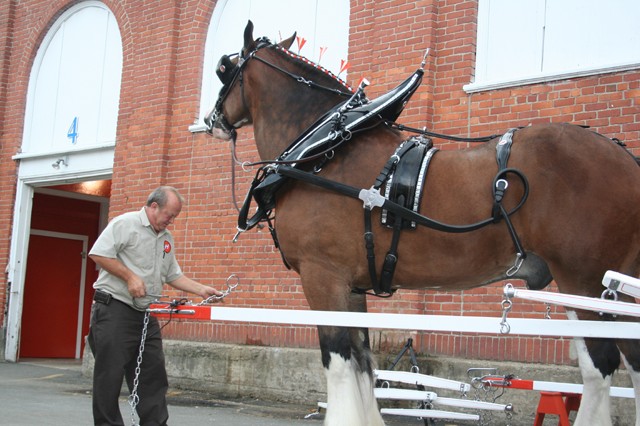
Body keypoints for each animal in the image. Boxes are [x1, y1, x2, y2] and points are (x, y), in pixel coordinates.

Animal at [206, 21, 640, 426]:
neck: (325, 149)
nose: (211, 119)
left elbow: (340, 363)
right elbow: (363, 362)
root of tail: (626, 159)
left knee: (601, 367)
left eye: (224, 68)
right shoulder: (351, 285)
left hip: (584, 282)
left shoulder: (322, 277)